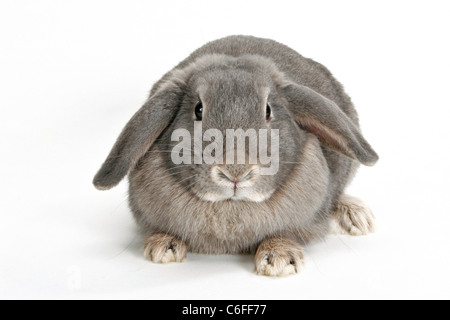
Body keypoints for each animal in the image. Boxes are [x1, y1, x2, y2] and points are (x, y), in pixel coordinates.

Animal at [93, 34, 378, 276]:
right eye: (198, 109)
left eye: (268, 110)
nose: (235, 172)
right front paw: (163, 245)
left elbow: (287, 234)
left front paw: (279, 259)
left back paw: (355, 215)